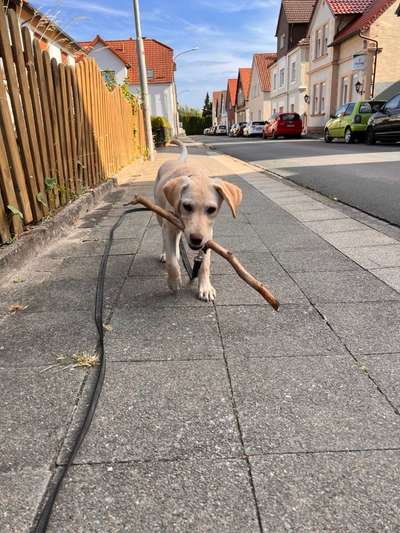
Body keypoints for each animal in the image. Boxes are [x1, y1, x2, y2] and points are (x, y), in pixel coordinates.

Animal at [152, 139, 241, 302]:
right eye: (187, 206)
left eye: (211, 209)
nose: (196, 239)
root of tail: (178, 160)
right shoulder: (169, 226)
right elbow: (171, 262)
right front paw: (174, 281)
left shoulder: (208, 234)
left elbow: (205, 263)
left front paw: (205, 287)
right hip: (160, 215)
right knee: (164, 238)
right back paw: (165, 254)